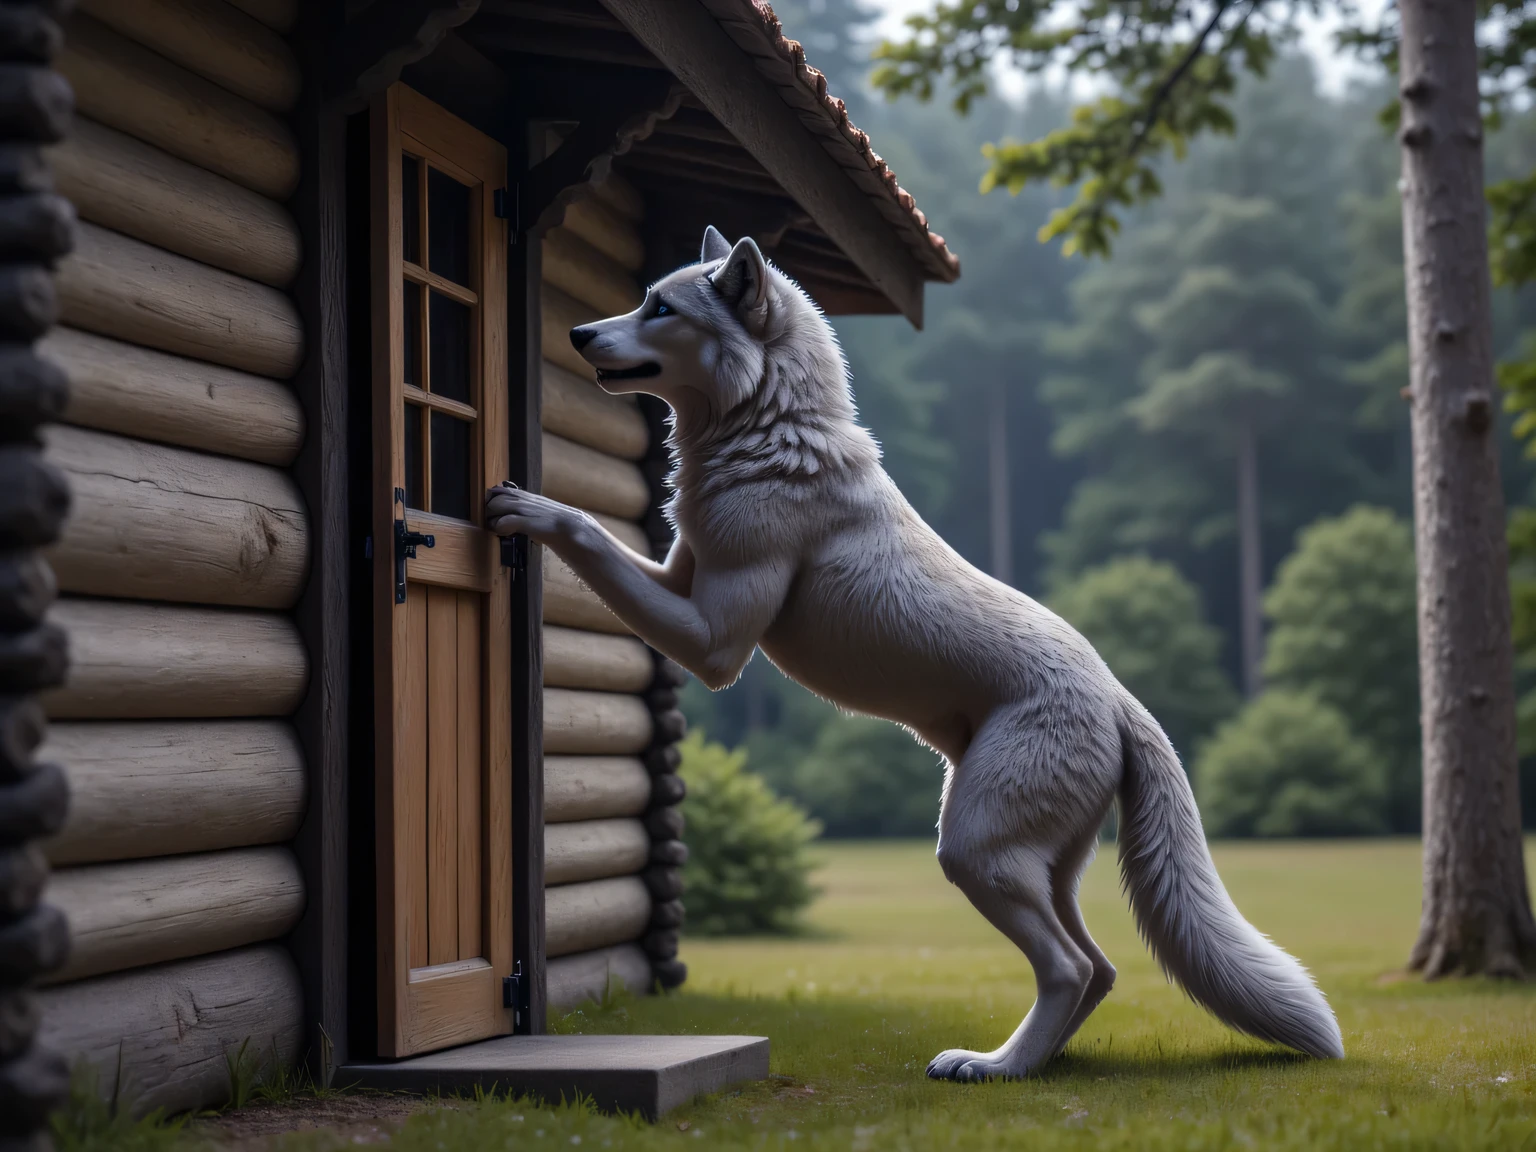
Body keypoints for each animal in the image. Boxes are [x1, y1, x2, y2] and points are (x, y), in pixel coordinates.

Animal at [485, 226, 1344, 1078]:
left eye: (660, 308)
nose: (576, 333)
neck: (769, 425)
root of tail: (1121, 699)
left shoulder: (717, 643)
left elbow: (589, 533)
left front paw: (528, 506)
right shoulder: (680, 578)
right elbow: (618, 556)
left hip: (975, 851)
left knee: (1069, 967)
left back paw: (993, 1068)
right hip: (1037, 863)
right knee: (1098, 967)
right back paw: (1033, 1062)